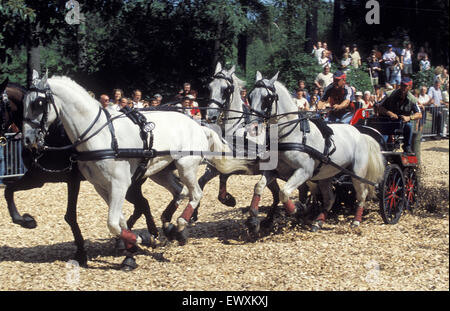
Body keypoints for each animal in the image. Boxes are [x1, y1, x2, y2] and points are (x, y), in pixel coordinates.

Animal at [22, 72, 248, 268]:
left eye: (38, 103)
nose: (27, 140)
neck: (101, 135)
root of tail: (198, 125)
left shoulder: (120, 184)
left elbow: (113, 223)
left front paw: (136, 241)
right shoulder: (101, 187)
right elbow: (120, 220)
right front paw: (132, 246)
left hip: (186, 166)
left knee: (196, 193)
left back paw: (181, 223)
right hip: (161, 171)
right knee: (180, 191)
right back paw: (169, 228)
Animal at [248, 71, 384, 232]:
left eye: (267, 98)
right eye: (249, 96)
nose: (252, 127)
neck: (290, 134)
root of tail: (361, 134)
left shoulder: (304, 171)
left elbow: (284, 193)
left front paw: (299, 209)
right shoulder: (274, 170)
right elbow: (258, 187)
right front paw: (253, 220)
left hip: (357, 173)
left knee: (361, 195)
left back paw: (356, 221)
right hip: (326, 175)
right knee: (330, 198)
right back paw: (318, 222)